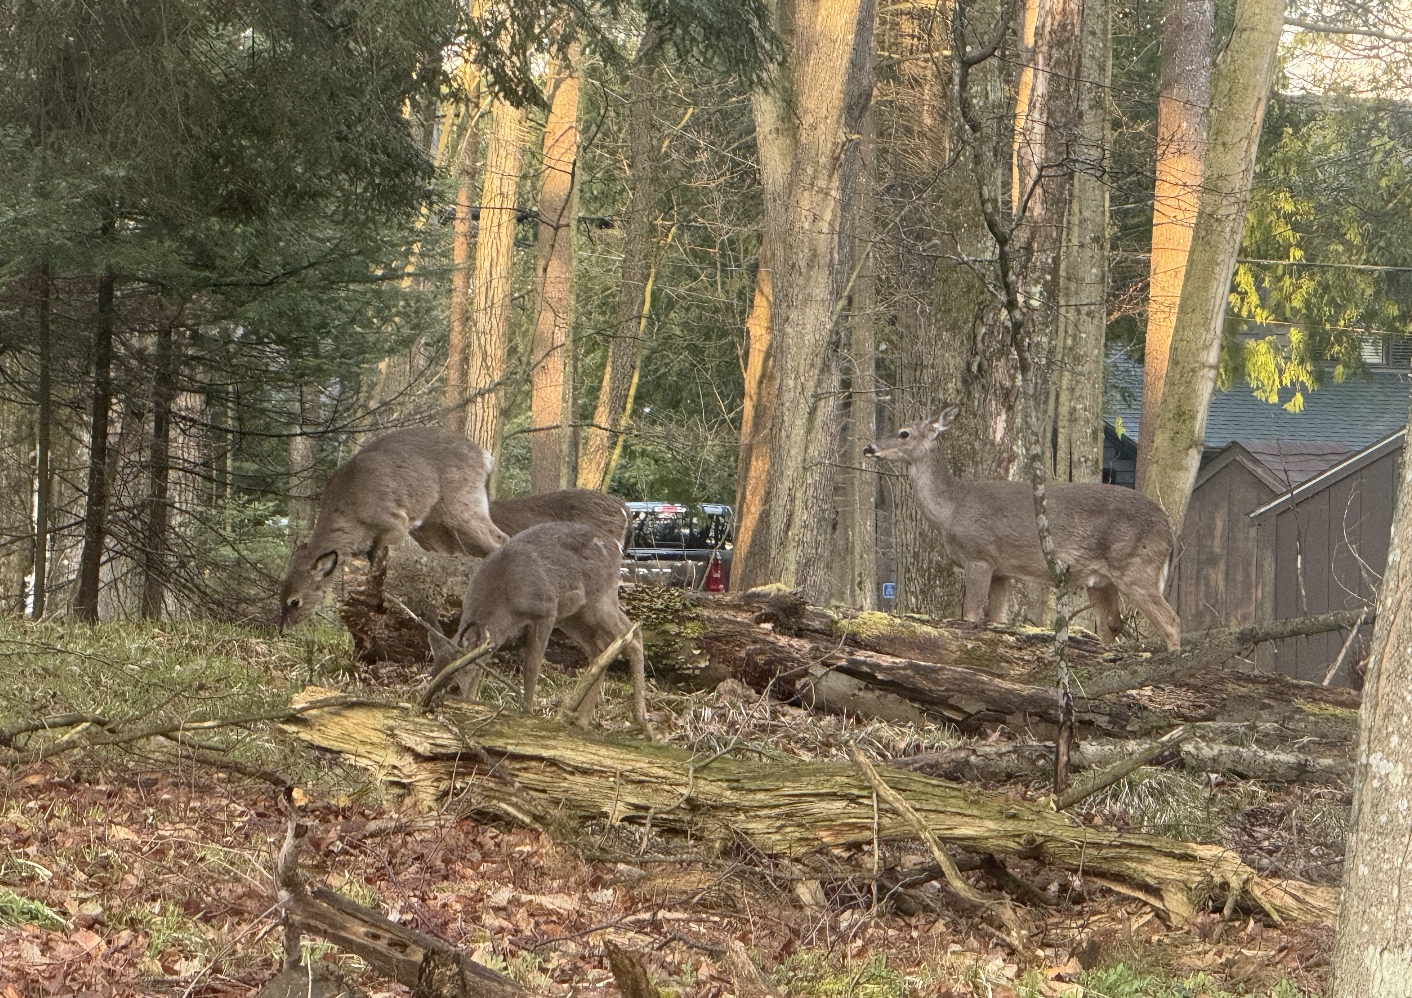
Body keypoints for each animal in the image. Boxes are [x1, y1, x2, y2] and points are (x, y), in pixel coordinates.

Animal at [278, 427, 509, 629]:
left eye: (295, 601)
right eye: (280, 596)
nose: (282, 629)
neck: (351, 515)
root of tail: (484, 457)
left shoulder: (396, 521)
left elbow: (377, 565)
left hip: (461, 502)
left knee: (499, 539)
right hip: (434, 523)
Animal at [421, 521, 649, 732]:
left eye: (453, 684)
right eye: (432, 675)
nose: (429, 703)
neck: (504, 601)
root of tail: (616, 546)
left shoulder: (546, 609)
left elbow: (531, 666)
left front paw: (527, 711)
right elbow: (482, 668)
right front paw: (472, 704)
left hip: (598, 599)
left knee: (632, 635)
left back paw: (642, 721)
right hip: (573, 616)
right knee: (601, 649)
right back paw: (583, 720)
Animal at [863, 406, 1181, 650]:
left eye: (904, 432)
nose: (870, 447)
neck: (951, 508)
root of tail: (1169, 532)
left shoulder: (979, 556)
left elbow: (969, 616)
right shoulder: (1002, 570)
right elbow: (996, 621)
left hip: (1136, 566)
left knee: (1171, 621)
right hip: (1103, 581)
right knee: (1111, 626)